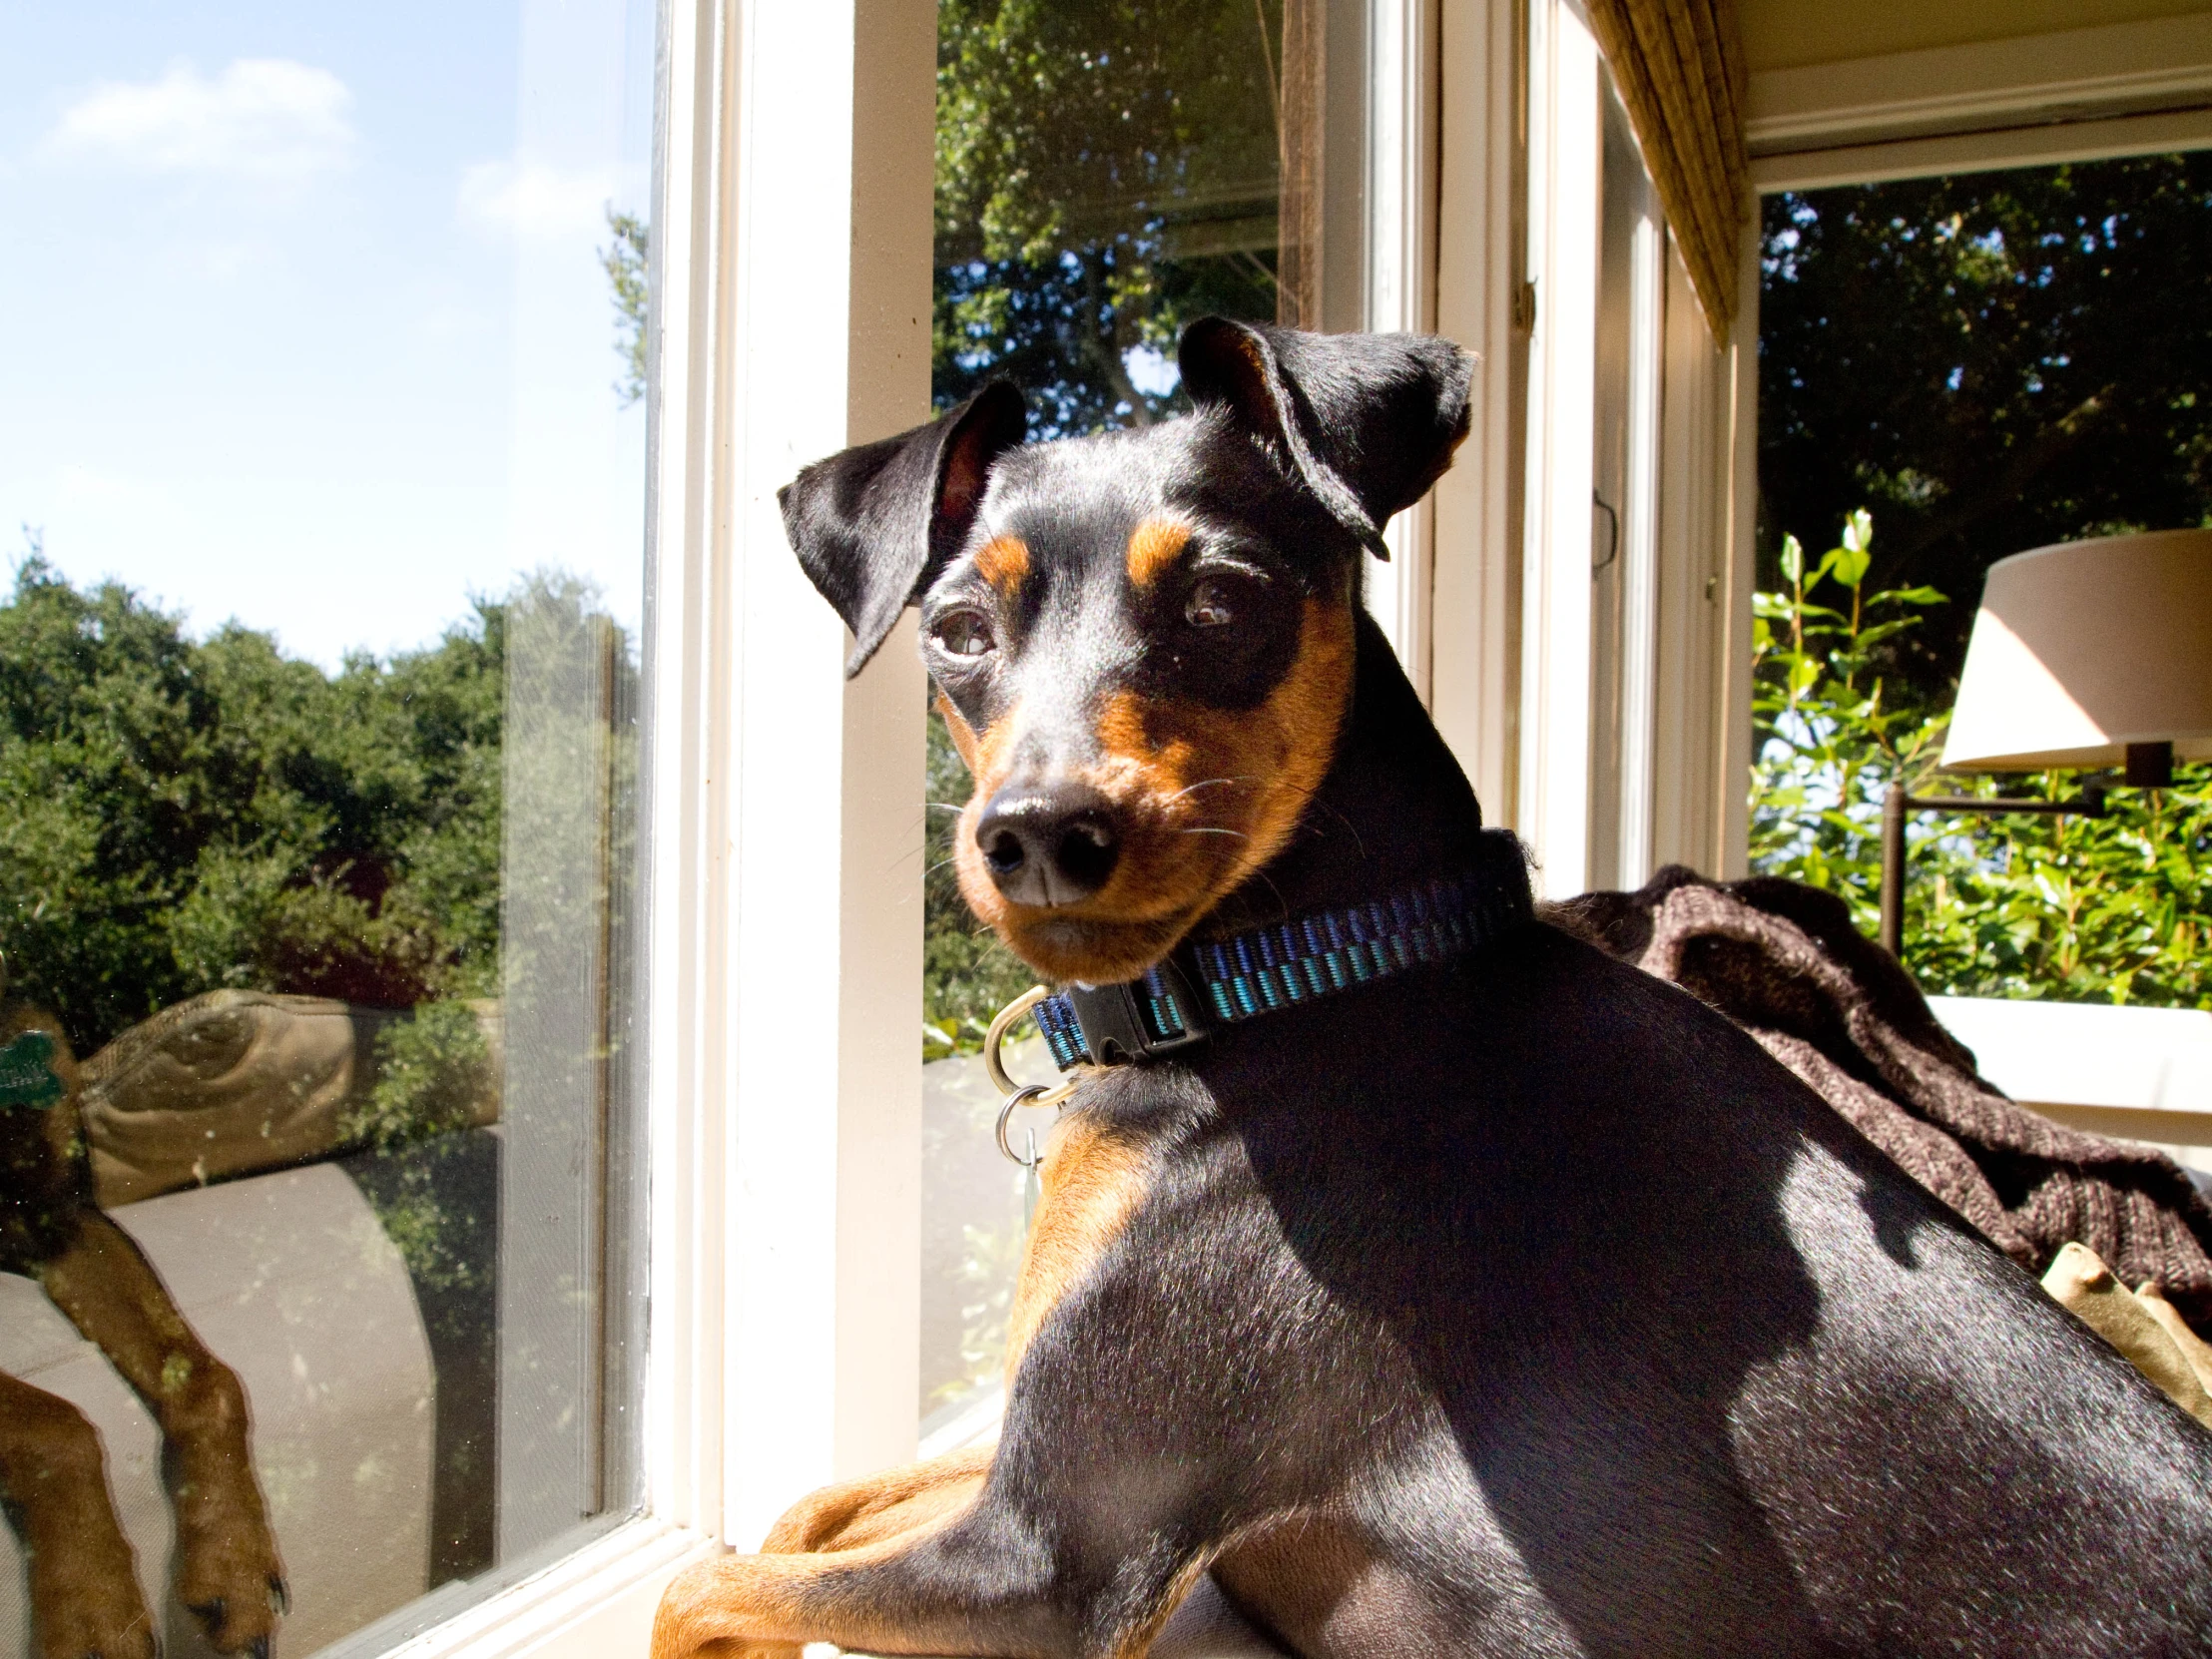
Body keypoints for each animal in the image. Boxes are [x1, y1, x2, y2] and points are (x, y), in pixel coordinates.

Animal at [650, 318, 2212, 1654]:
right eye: (960, 631)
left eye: (1222, 600)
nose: (1038, 833)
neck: (1296, 981)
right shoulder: (1028, 1483)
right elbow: (801, 1510)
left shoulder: (1056, 1556)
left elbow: (699, 1585)